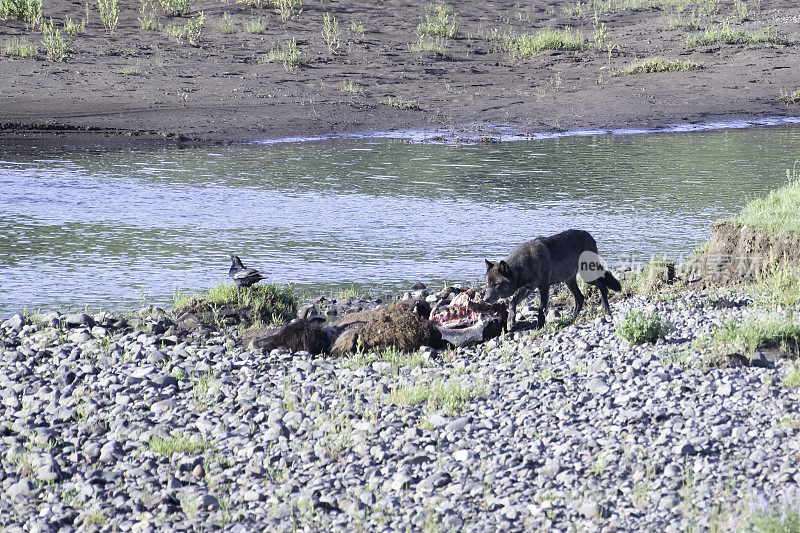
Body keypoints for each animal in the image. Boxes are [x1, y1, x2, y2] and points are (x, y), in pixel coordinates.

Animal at [484, 228, 620, 328]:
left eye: (496, 284)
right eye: (487, 284)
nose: (485, 299)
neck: (526, 264)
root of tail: (590, 237)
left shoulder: (544, 287)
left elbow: (541, 308)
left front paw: (539, 326)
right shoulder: (528, 288)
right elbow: (512, 303)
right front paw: (510, 323)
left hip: (587, 276)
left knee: (603, 287)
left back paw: (607, 311)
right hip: (569, 281)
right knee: (580, 298)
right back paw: (572, 318)